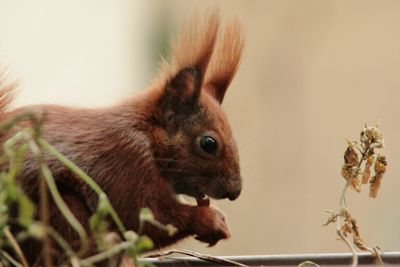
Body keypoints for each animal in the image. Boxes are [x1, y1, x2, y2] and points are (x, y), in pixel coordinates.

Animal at [0, 9, 244, 266]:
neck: (147, 135)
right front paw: (211, 219)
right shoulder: (126, 162)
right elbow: (145, 217)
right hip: (55, 210)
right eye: (209, 144)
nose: (235, 192)